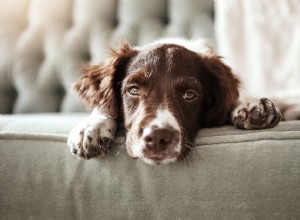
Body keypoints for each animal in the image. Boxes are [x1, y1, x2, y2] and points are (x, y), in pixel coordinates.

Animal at [67, 38, 282, 165]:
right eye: (133, 90)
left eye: (189, 94)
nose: (157, 137)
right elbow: (103, 106)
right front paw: (91, 127)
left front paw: (251, 105)